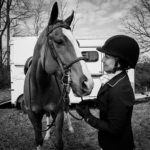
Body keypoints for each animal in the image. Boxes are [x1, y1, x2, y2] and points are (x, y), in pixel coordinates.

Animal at [23, 2, 94, 150]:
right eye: (59, 41)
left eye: (78, 43)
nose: (88, 83)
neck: (39, 84)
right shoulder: (32, 116)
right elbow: (38, 140)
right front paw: (45, 135)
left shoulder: (59, 112)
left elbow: (59, 142)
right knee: (48, 116)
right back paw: (48, 133)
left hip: (66, 96)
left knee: (67, 107)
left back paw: (70, 128)